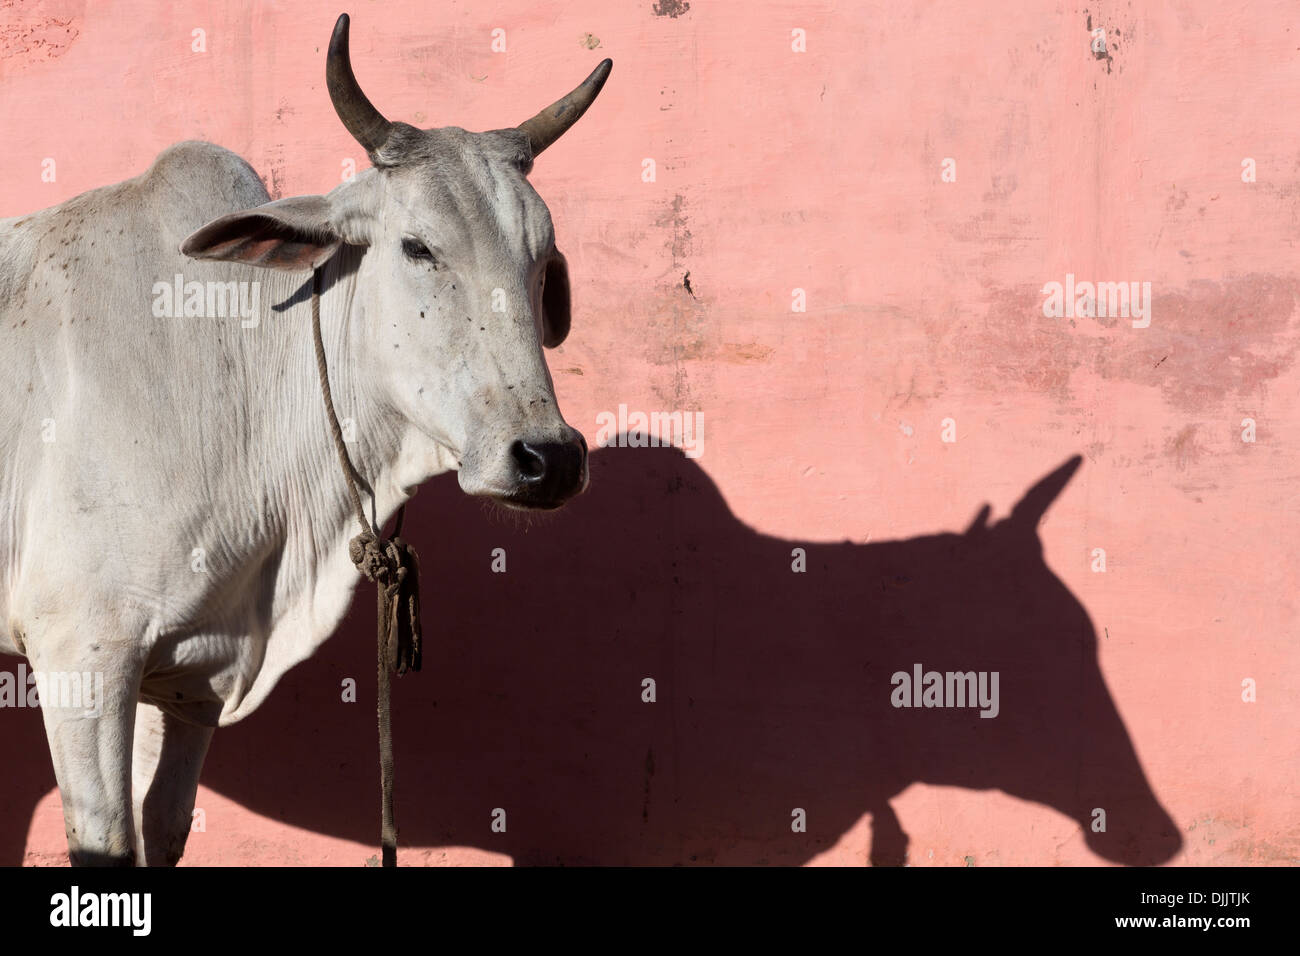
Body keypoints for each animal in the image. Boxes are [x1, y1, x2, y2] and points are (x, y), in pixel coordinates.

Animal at [0, 14, 611, 868]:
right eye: (416, 246)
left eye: (543, 258)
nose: (548, 459)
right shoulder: (82, 654)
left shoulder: (191, 684)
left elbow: (165, 830)